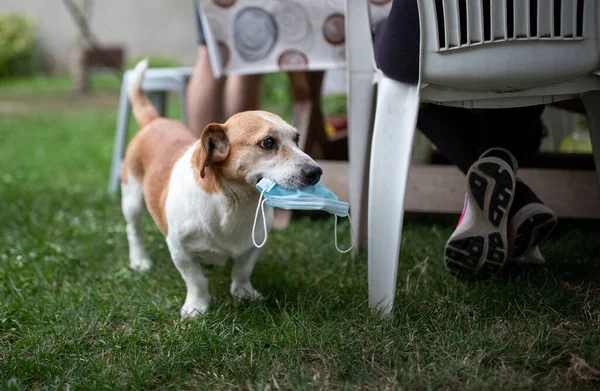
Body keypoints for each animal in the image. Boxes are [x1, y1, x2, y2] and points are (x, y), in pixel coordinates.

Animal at [119, 59, 322, 320]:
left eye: (297, 139)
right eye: (268, 142)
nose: (316, 172)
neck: (234, 204)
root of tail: (155, 121)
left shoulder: (254, 245)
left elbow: (242, 271)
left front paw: (244, 294)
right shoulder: (179, 249)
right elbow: (195, 280)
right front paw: (196, 307)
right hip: (132, 199)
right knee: (133, 230)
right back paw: (139, 260)